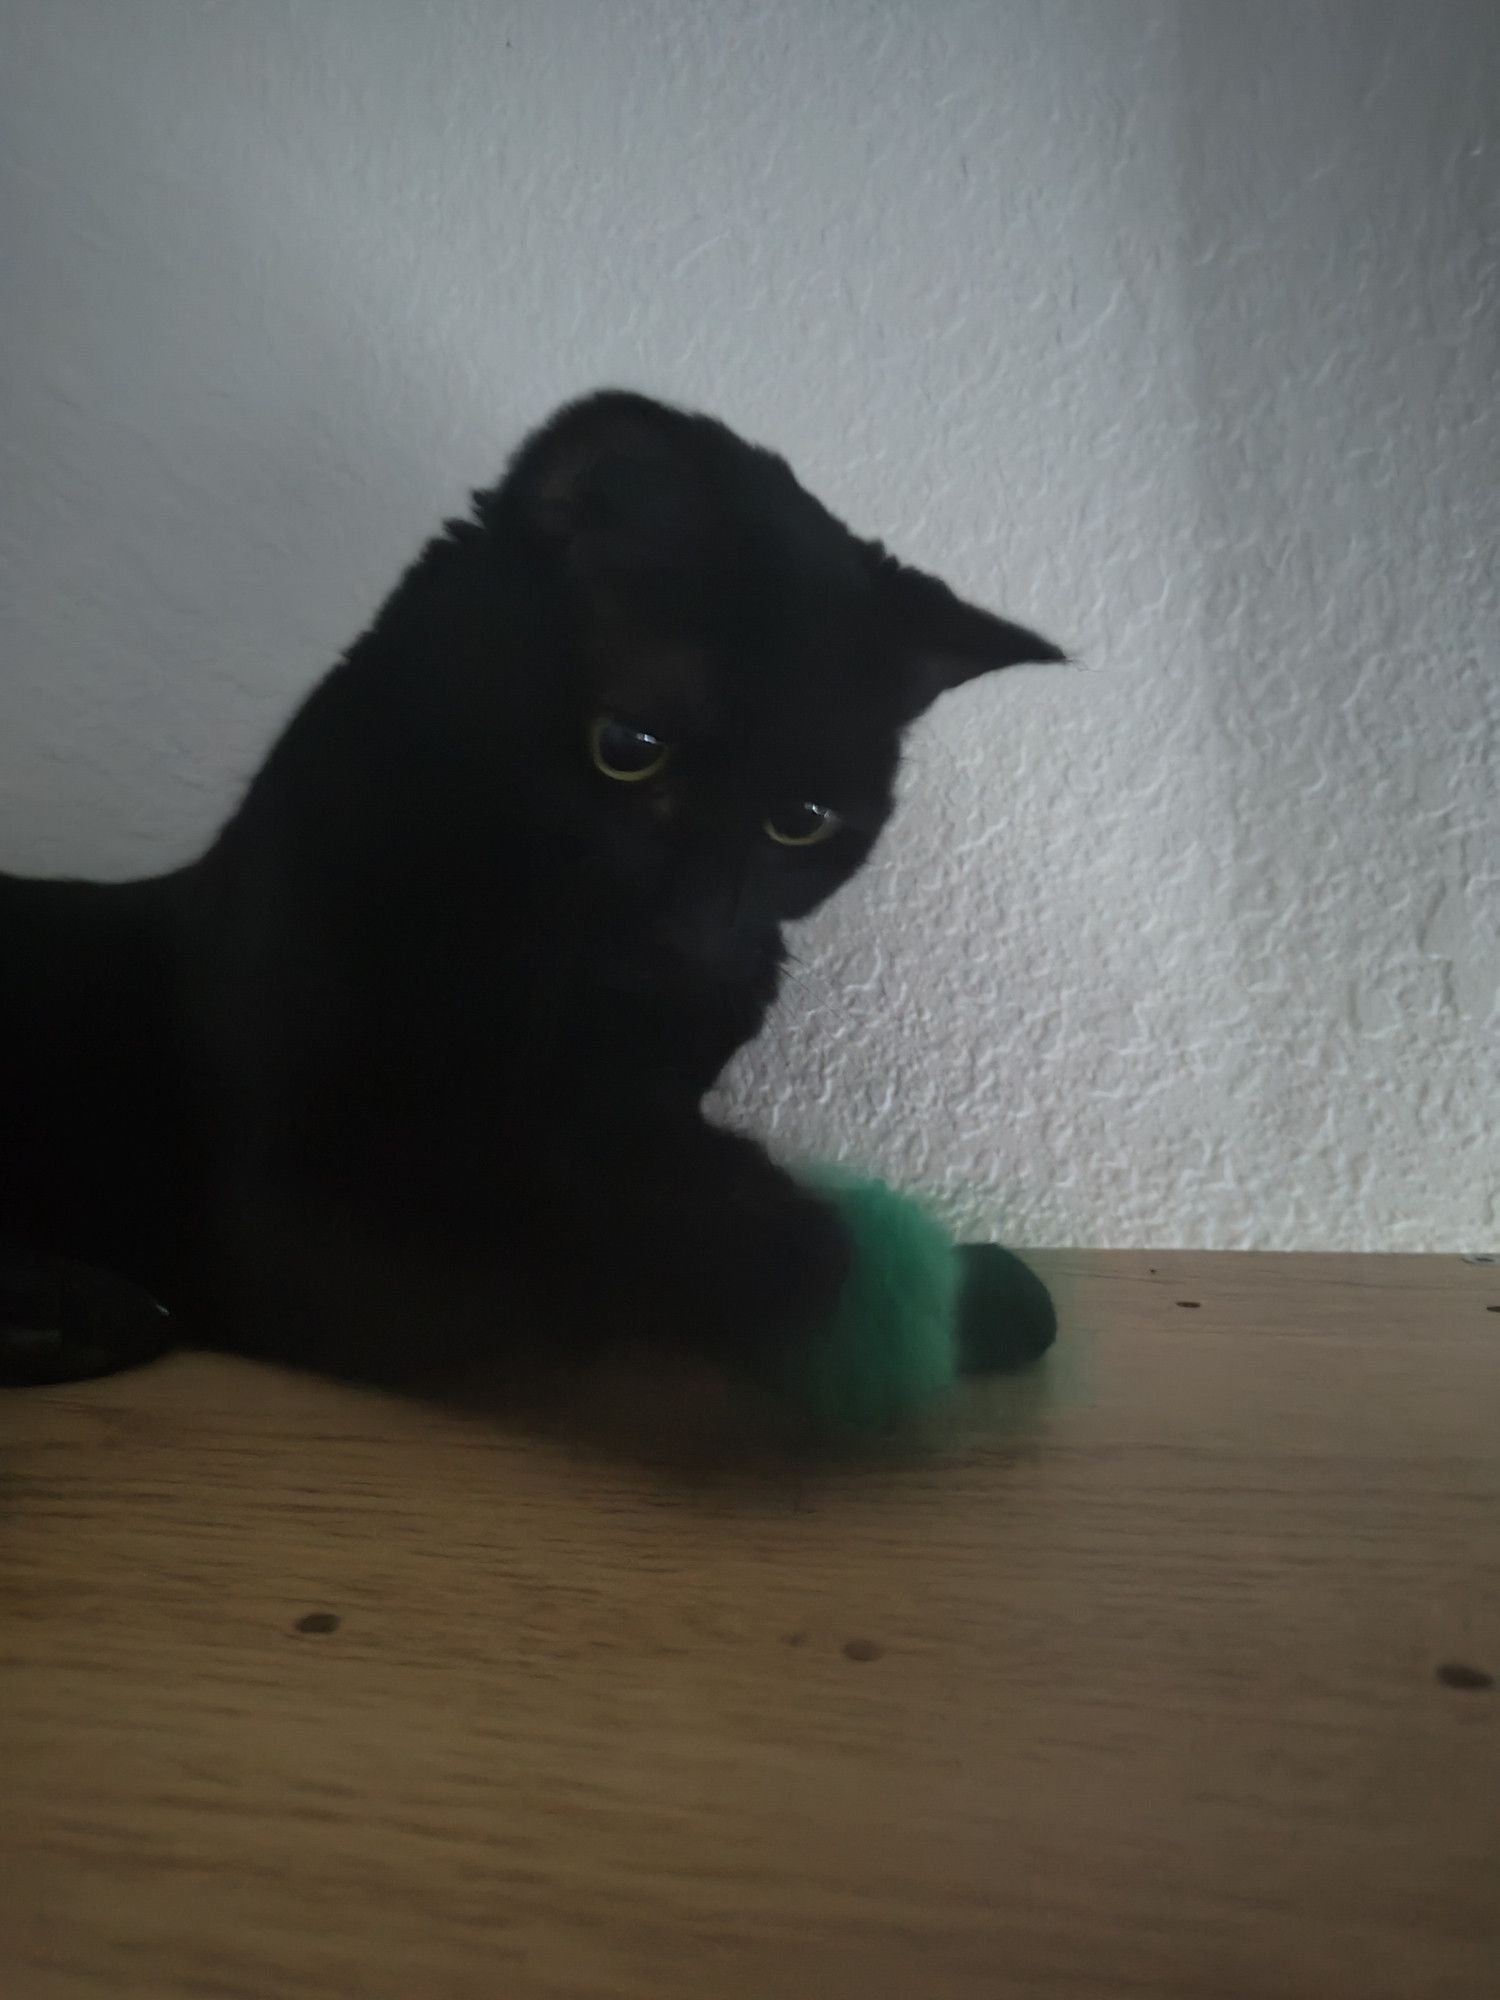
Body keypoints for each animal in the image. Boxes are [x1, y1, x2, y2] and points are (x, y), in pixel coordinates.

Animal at [0, 386, 1064, 1392]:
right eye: (628, 747)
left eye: (801, 820)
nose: (694, 930)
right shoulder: (306, 1200)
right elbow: (578, 1218)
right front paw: (826, 1260)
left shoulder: (649, 1102)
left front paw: (978, 1289)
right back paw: (80, 1315)